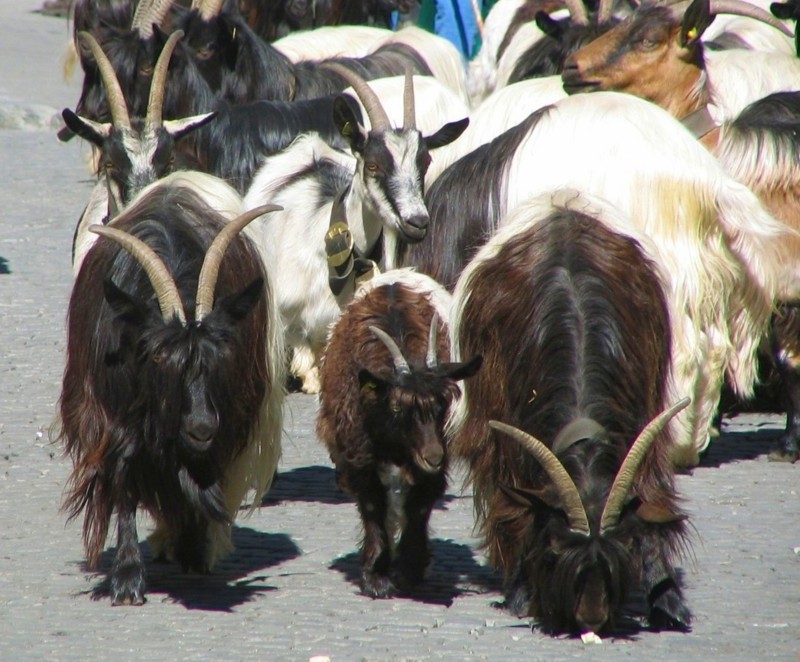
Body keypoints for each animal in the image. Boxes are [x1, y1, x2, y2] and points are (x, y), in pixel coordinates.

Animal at [318, 272, 482, 600]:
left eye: (443, 403)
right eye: (397, 406)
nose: (432, 457)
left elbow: (419, 506)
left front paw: (410, 568)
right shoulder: (359, 455)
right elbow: (372, 506)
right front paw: (375, 577)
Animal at [450, 191, 692, 632]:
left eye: (624, 544)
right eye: (554, 546)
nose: (590, 618)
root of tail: (561, 203)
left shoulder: (647, 413)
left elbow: (650, 495)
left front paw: (666, 599)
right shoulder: (507, 424)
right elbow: (515, 502)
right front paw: (522, 591)